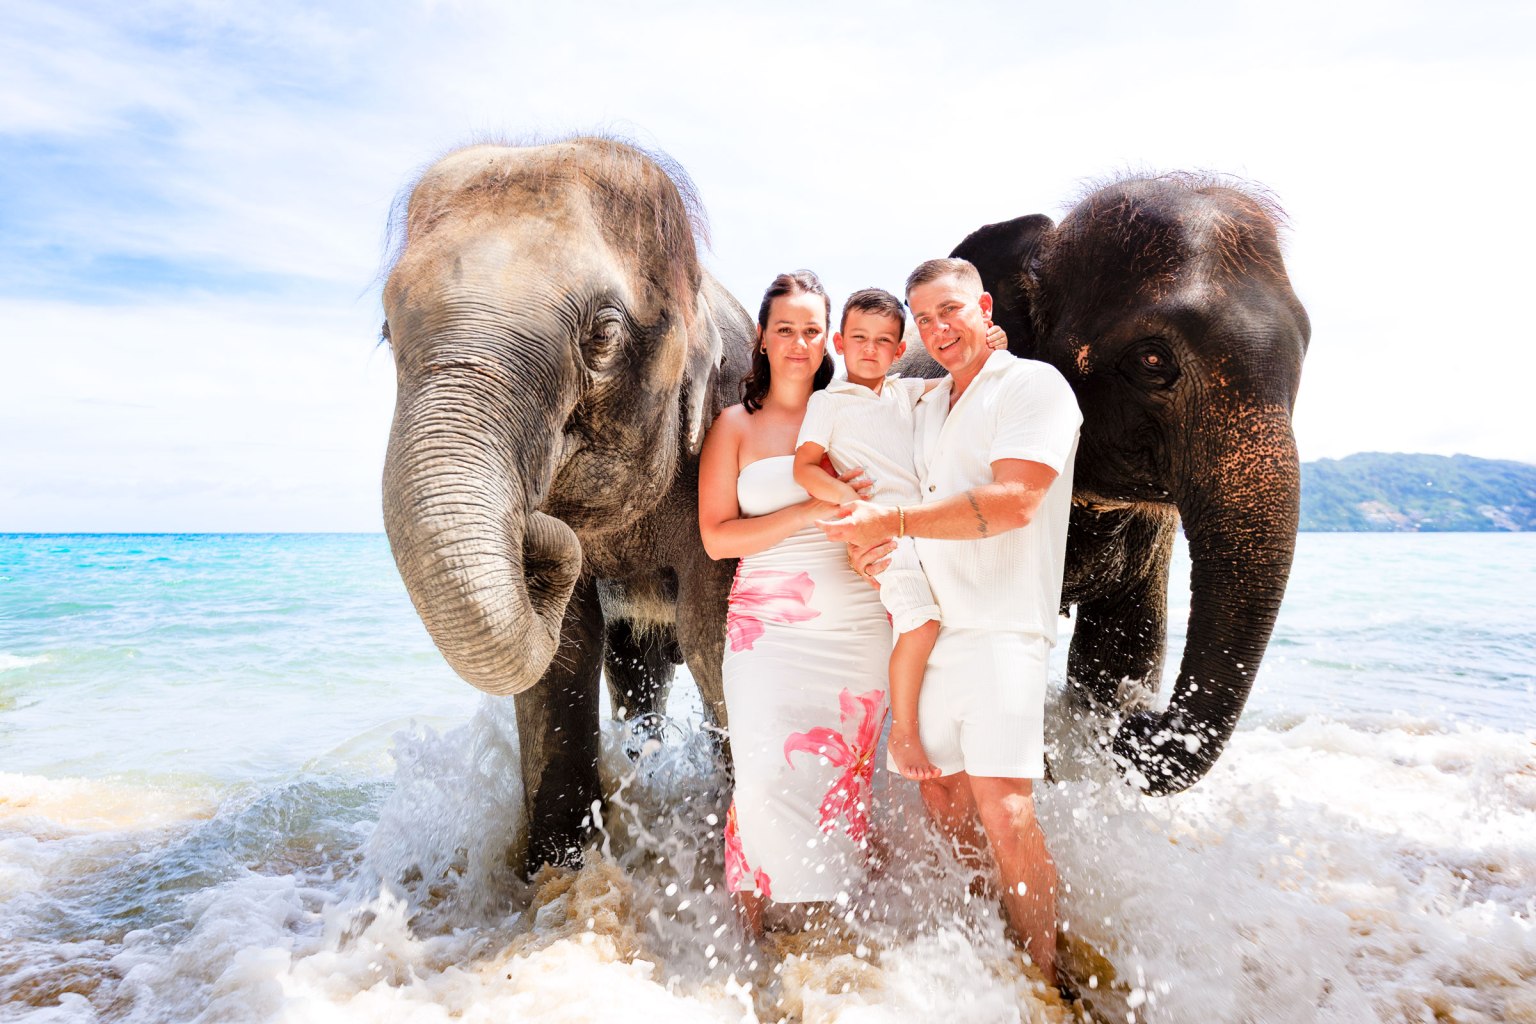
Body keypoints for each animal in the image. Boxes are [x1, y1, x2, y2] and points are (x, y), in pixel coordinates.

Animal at [380, 137, 753, 874]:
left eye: (603, 335)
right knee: (633, 670)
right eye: (385, 331)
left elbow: (715, 634)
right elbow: (564, 657)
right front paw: (555, 870)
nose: (537, 537)